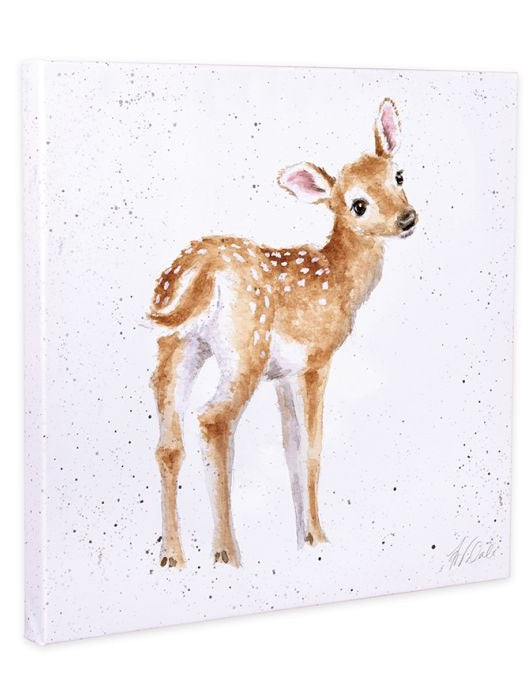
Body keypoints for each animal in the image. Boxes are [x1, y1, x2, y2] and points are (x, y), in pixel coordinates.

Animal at [149, 98, 417, 568]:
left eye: (398, 176)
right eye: (358, 205)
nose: (407, 218)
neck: (339, 280)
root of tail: (200, 268)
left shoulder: (282, 375)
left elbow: (290, 448)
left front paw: (303, 541)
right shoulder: (316, 360)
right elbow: (312, 448)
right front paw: (319, 540)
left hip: (179, 345)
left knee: (169, 439)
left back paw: (172, 557)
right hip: (245, 348)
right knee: (213, 420)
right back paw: (226, 554)